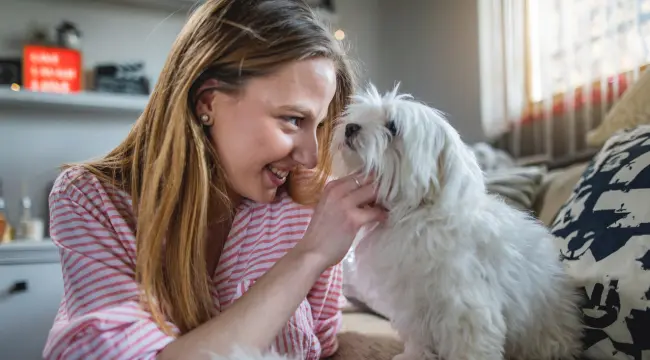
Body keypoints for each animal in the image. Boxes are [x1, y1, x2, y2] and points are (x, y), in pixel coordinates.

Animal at [332, 85, 580, 360]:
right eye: (360, 115)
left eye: (393, 126)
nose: (350, 127)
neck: (413, 215)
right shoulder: (412, 303)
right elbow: (418, 335)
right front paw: (414, 355)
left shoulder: (465, 307)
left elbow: (469, 346)